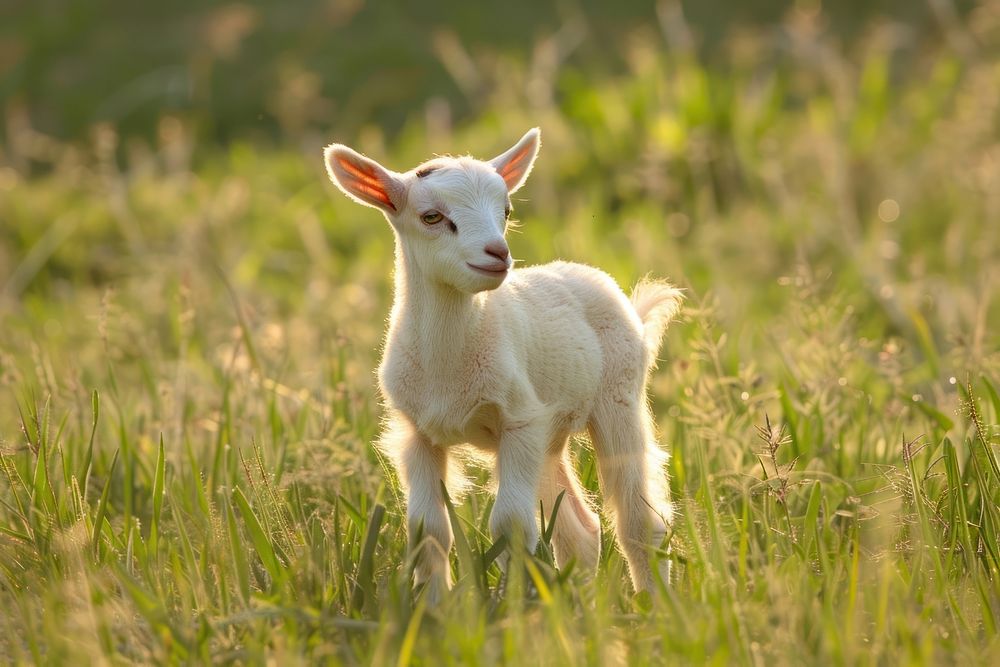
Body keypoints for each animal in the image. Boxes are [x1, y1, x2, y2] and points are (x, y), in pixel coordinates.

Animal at [324, 126, 684, 600]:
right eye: (431, 217)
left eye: (507, 210)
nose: (498, 253)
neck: (448, 365)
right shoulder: (417, 431)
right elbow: (428, 529)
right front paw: (434, 608)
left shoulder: (519, 418)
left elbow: (510, 526)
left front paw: (515, 608)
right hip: (550, 432)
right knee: (580, 530)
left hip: (618, 395)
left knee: (639, 521)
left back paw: (656, 604)